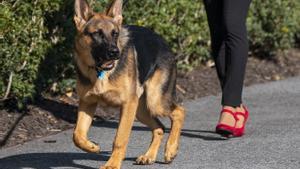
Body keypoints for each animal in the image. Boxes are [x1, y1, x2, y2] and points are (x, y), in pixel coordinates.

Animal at [72, 0, 185, 168]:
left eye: (115, 33)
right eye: (97, 34)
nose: (115, 53)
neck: (101, 72)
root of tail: (161, 39)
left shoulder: (127, 104)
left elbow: (120, 138)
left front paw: (113, 164)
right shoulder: (87, 103)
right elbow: (77, 135)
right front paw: (92, 146)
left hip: (154, 102)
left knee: (179, 112)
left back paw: (170, 149)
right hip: (140, 110)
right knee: (159, 127)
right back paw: (149, 156)